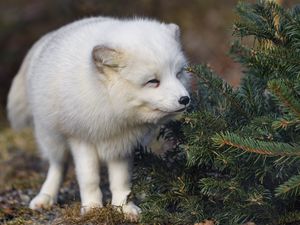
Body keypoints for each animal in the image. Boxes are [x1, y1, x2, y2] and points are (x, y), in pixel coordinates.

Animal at [7, 16, 190, 215]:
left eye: (178, 74)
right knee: (57, 166)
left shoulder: (122, 145)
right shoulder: (80, 139)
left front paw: (124, 207)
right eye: (153, 81)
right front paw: (92, 208)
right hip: (51, 138)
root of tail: (51, 36)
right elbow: (89, 179)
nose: (185, 99)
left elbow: (121, 181)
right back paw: (46, 196)